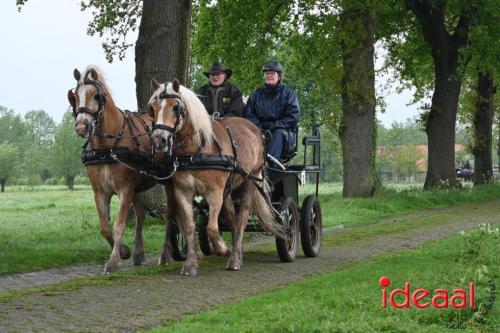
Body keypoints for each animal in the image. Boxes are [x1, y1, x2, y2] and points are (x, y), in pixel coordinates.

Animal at [67, 65, 160, 272]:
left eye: (96, 96)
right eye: (75, 96)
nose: (81, 127)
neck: (107, 149)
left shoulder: (125, 189)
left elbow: (119, 225)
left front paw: (113, 261)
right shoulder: (100, 192)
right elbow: (104, 227)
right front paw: (124, 251)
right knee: (140, 215)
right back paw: (139, 253)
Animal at [148, 78, 284, 274]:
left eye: (176, 107)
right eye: (152, 108)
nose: (159, 140)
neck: (196, 150)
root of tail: (256, 131)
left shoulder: (215, 194)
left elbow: (212, 227)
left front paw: (222, 247)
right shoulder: (182, 192)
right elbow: (189, 226)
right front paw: (191, 264)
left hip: (250, 180)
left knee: (241, 219)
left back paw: (234, 259)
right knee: (232, 219)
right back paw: (237, 253)